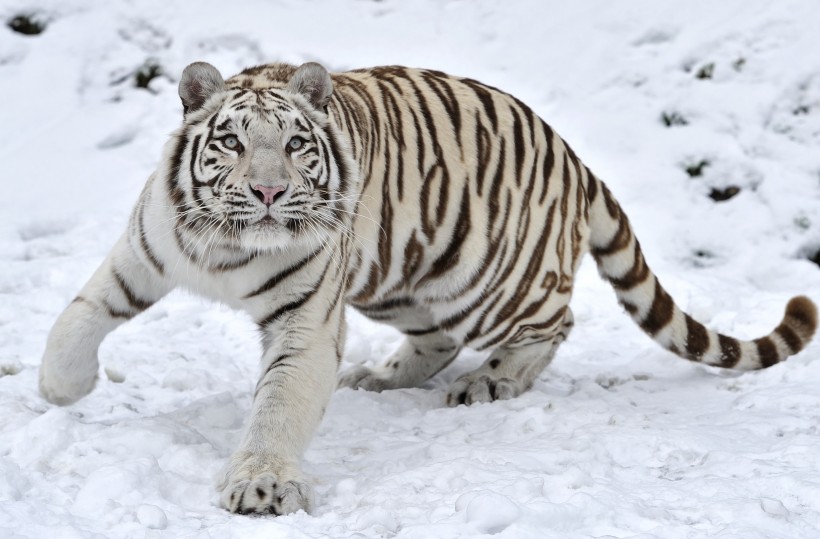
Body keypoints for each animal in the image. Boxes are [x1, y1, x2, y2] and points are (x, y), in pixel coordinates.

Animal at [38, 60, 817, 516]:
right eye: (230, 142)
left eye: (294, 145)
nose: (268, 191)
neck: (230, 246)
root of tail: (574, 156)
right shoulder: (144, 251)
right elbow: (78, 314)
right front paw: (60, 389)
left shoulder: (305, 322)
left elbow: (276, 408)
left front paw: (262, 484)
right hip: (400, 277)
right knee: (437, 337)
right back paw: (380, 377)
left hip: (493, 280)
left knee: (555, 322)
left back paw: (488, 382)